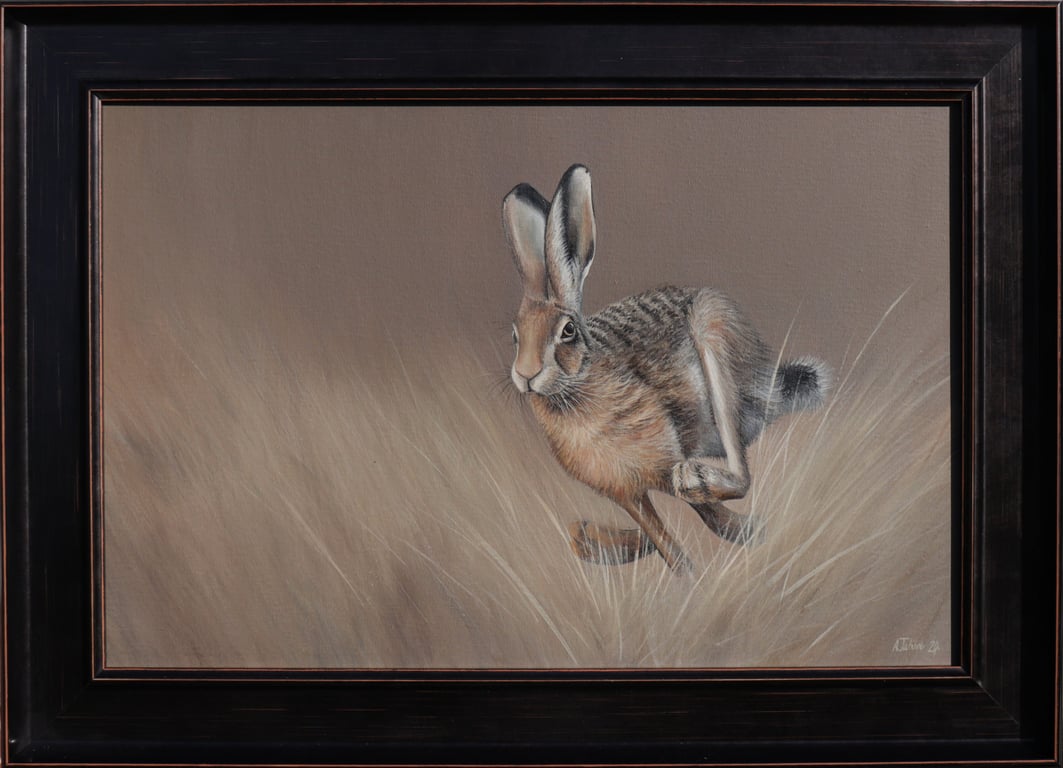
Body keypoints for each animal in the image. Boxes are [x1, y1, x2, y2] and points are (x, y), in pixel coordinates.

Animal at [501, 164, 830, 574]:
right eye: (515, 335)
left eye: (568, 331)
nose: (526, 375)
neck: (575, 391)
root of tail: (767, 385)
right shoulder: (627, 494)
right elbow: (666, 544)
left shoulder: (663, 457)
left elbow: (705, 529)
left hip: (712, 338)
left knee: (740, 476)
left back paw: (698, 479)